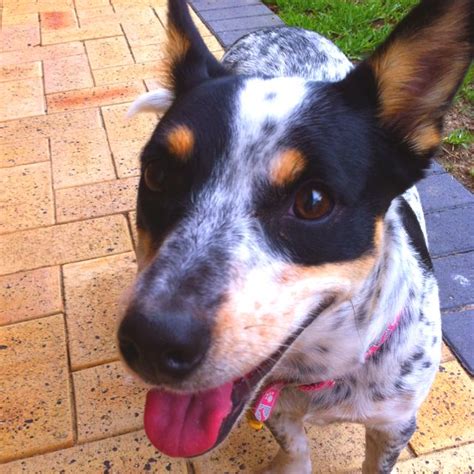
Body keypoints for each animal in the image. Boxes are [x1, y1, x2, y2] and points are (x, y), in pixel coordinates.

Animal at [119, 1, 474, 472]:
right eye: (158, 175)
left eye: (313, 201)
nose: (152, 342)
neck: (317, 374)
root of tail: (284, 28)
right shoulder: (274, 411)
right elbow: (296, 448)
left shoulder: (395, 424)